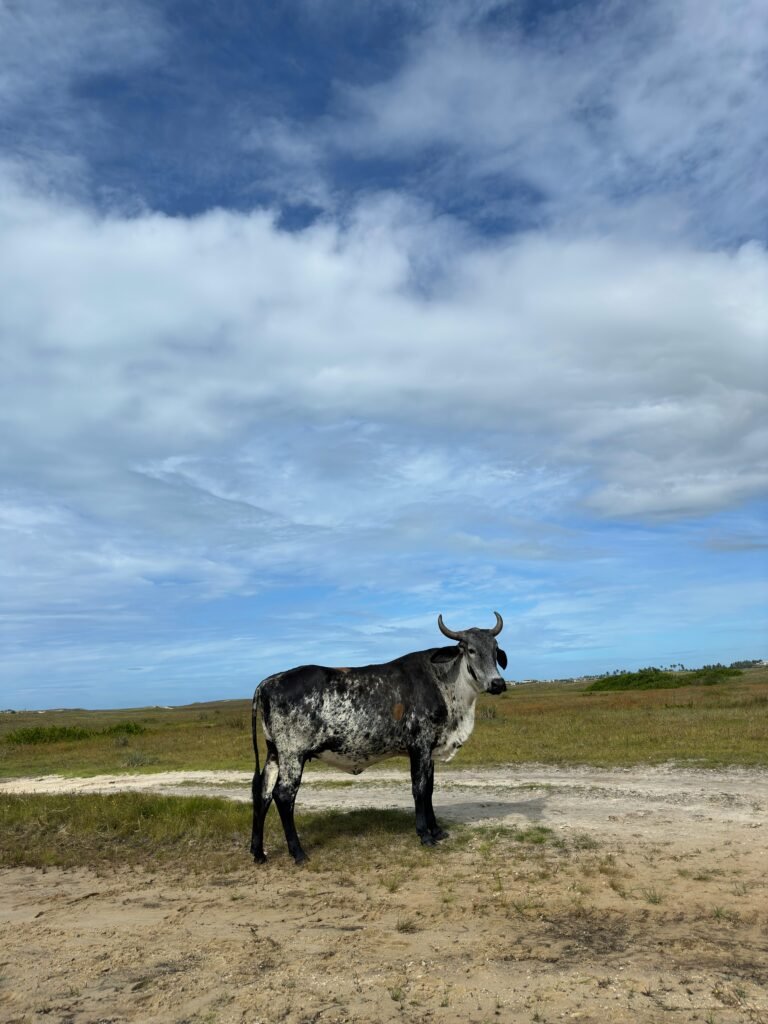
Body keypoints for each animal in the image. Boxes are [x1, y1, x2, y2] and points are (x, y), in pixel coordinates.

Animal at [249, 614, 507, 864]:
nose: (498, 683)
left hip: (274, 753)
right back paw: (298, 853)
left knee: (262, 793)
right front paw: (424, 834)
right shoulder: (420, 746)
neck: (442, 681)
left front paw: (437, 830)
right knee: (283, 795)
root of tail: (268, 683)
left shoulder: (430, 750)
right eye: (470, 649)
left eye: (495, 649)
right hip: (292, 754)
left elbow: (430, 789)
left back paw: (258, 852)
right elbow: (420, 788)